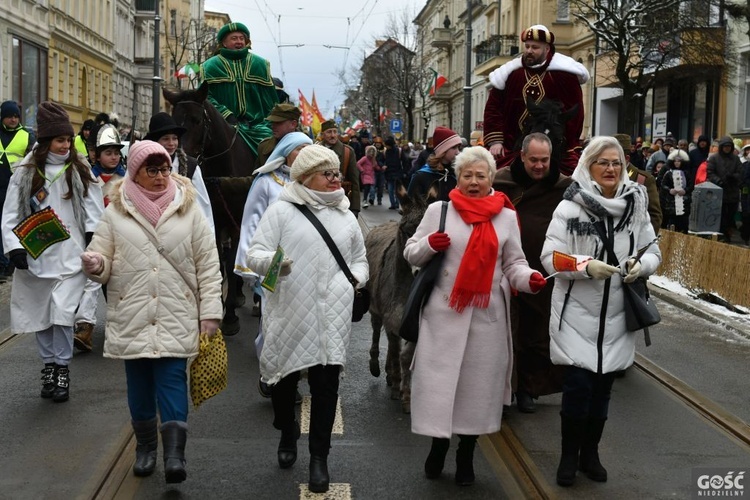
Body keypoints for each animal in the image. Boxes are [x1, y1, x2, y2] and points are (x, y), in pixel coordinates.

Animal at [162, 85, 256, 336]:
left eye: (196, 120)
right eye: (174, 119)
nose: (180, 155)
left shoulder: (236, 223)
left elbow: (231, 263)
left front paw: (230, 316)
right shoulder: (212, 221)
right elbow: (218, 261)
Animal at [368, 186, 438, 412]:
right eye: (408, 232)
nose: (419, 270)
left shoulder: (414, 325)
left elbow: (405, 356)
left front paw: (407, 396)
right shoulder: (392, 319)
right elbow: (395, 349)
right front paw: (398, 386)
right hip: (375, 308)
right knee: (376, 331)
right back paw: (378, 367)